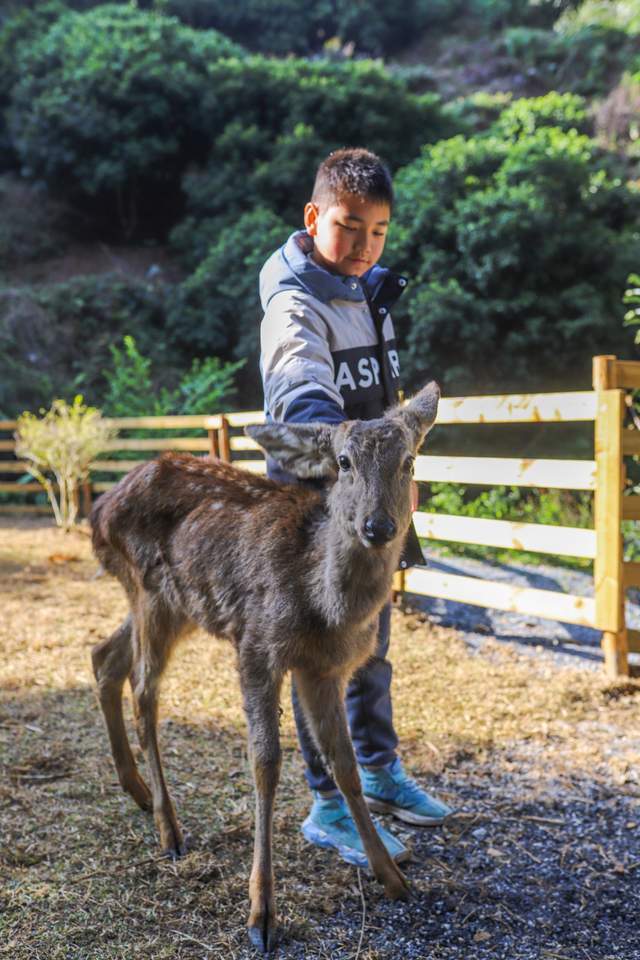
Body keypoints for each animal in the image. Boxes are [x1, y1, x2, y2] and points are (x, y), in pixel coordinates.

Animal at [91, 380, 440, 952]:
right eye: (343, 461)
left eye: (409, 461)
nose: (378, 526)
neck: (323, 607)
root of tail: (97, 508)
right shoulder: (256, 645)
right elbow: (266, 762)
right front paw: (262, 915)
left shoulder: (324, 670)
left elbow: (345, 763)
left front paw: (392, 877)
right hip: (148, 591)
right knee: (144, 692)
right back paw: (170, 829)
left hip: (174, 607)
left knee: (104, 658)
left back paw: (137, 792)